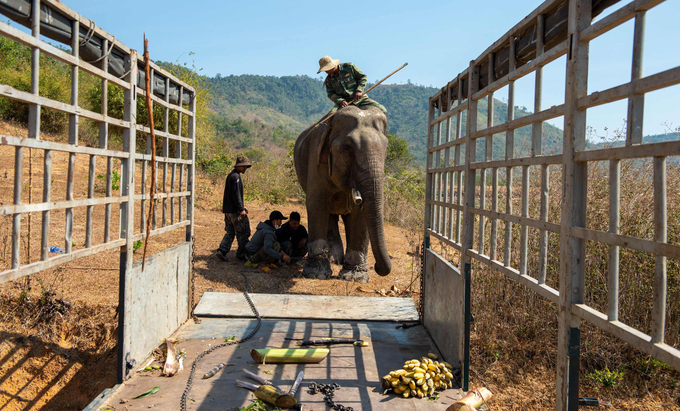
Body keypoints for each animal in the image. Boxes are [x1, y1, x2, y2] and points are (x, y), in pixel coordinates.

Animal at [292, 104, 394, 284]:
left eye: (385, 149)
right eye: (347, 148)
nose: (376, 267)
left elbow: (360, 213)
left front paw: (355, 278)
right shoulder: (316, 157)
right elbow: (316, 204)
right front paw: (316, 275)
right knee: (329, 215)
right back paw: (334, 260)